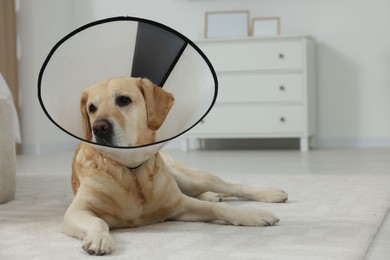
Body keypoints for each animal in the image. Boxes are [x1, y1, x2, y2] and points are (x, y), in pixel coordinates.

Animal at [62, 77, 288, 256]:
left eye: (123, 100)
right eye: (92, 108)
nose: (99, 128)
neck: (132, 171)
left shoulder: (179, 204)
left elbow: (219, 208)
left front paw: (254, 215)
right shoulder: (77, 211)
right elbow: (98, 221)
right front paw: (99, 238)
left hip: (192, 178)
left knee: (232, 186)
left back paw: (271, 194)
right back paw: (211, 195)